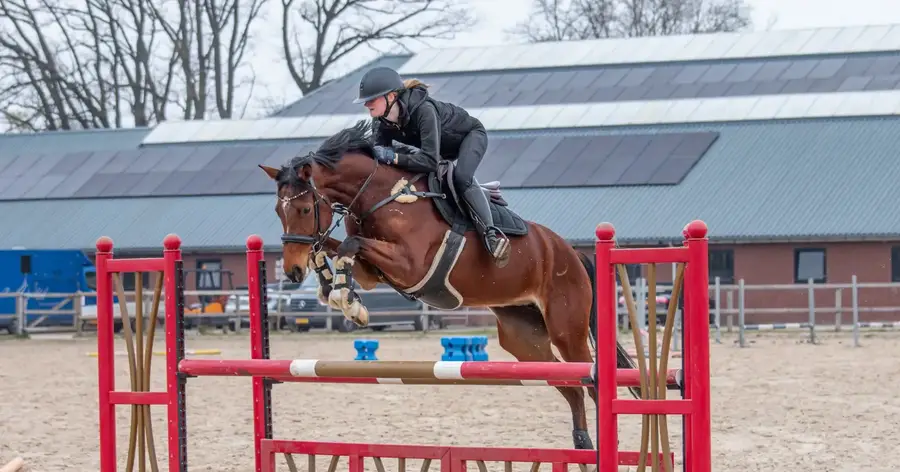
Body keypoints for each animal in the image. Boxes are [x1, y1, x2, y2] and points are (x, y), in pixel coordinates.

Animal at [258, 120, 638, 451]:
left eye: (305, 209)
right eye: (277, 211)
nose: (292, 271)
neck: (383, 196)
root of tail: (572, 252)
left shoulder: (410, 265)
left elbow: (349, 246)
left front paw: (347, 302)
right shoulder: (375, 272)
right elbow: (335, 249)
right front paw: (335, 289)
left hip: (566, 329)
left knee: (589, 383)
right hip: (524, 337)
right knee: (569, 385)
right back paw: (583, 445)